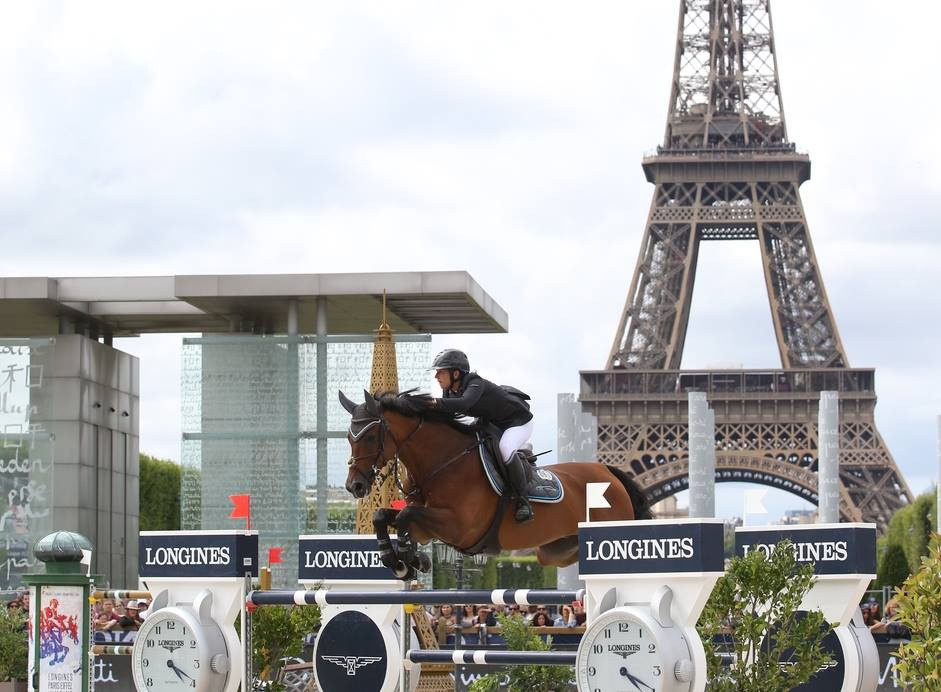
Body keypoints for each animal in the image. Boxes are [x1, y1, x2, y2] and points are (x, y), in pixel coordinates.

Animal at [340, 390, 652, 580]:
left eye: (370, 437)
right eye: (348, 437)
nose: (354, 486)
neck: (443, 461)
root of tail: (609, 472)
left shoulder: (458, 527)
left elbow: (406, 515)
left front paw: (409, 558)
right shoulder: (429, 526)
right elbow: (384, 515)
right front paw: (400, 562)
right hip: (554, 551)